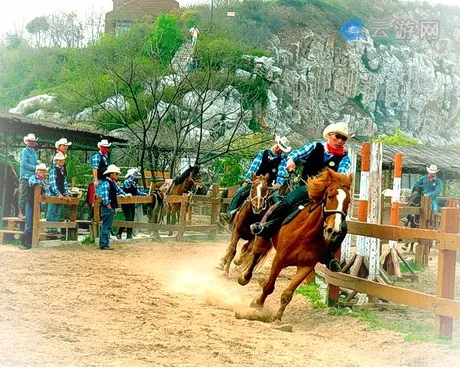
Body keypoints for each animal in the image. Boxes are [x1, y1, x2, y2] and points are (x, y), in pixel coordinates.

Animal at [237, 170, 352, 324]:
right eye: (330, 196)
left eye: (348, 202)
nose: (333, 230)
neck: (306, 234)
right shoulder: (279, 260)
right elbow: (269, 287)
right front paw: (257, 305)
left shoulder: (305, 267)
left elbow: (287, 294)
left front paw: (277, 319)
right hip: (262, 240)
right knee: (255, 256)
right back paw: (244, 278)